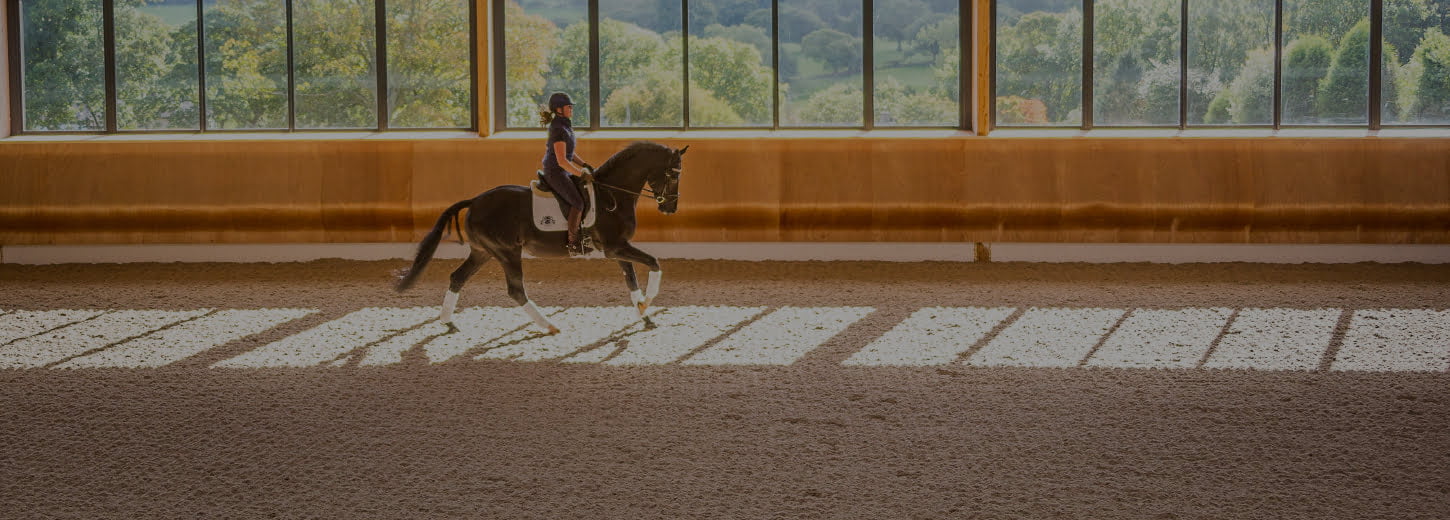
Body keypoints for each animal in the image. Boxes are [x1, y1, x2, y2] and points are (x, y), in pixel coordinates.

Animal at [394, 141, 687, 334]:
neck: (612, 193)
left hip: (483, 252)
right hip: (507, 252)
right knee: (515, 289)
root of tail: (475, 201)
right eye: (673, 175)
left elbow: (631, 281)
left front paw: (644, 313)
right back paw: (549, 325)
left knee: (458, 278)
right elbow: (654, 264)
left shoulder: (618, 248)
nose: (671, 208)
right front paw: (648, 303)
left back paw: (448, 321)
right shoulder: (615, 247)